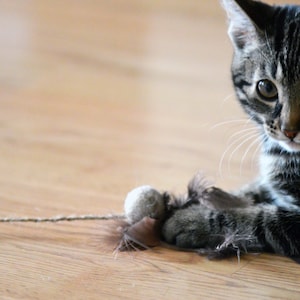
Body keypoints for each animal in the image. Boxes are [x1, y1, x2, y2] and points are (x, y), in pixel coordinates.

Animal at [162, 0, 300, 260]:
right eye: (267, 88)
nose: (289, 131)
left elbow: (265, 219)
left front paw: (195, 220)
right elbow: (257, 188)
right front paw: (211, 198)